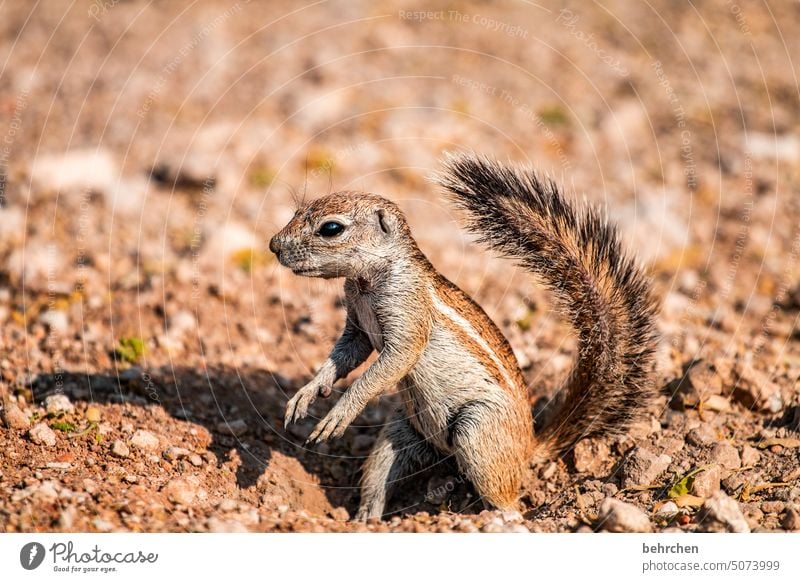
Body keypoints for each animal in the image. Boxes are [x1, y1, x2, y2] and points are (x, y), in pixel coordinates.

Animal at [268, 153, 656, 524]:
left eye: (331, 228)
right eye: (298, 210)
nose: (273, 245)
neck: (367, 282)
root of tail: (529, 448)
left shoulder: (408, 318)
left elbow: (388, 364)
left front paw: (338, 413)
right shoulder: (357, 328)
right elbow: (344, 356)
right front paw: (307, 393)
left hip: (477, 430)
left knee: (507, 499)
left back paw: (500, 517)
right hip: (402, 432)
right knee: (379, 473)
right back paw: (367, 518)